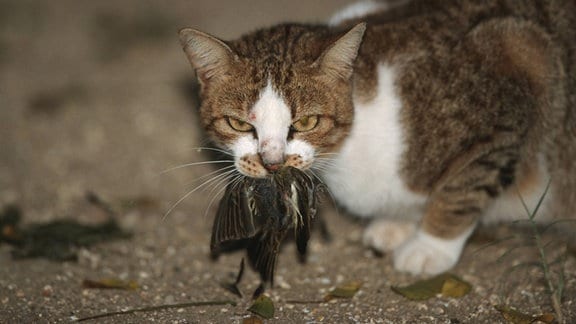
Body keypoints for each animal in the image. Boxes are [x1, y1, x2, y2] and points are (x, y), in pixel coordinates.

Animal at [180, 1, 576, 276]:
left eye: (306, 122)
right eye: (238, 124)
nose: (273, 163)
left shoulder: (517, 69)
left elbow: (461, 190)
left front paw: (431, 246)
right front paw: (399, 222)